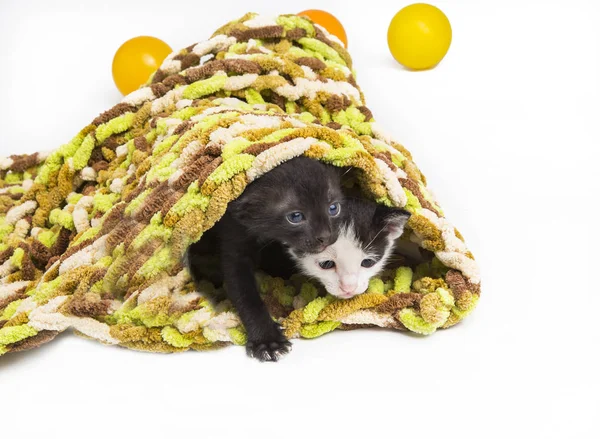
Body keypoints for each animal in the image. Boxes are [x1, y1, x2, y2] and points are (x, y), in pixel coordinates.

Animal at [188, 156, 342, 362]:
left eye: (333, 208)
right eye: (295, 216)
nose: (326, 236)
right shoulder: (235, 247)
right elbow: (246, 296)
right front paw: (267, 340)